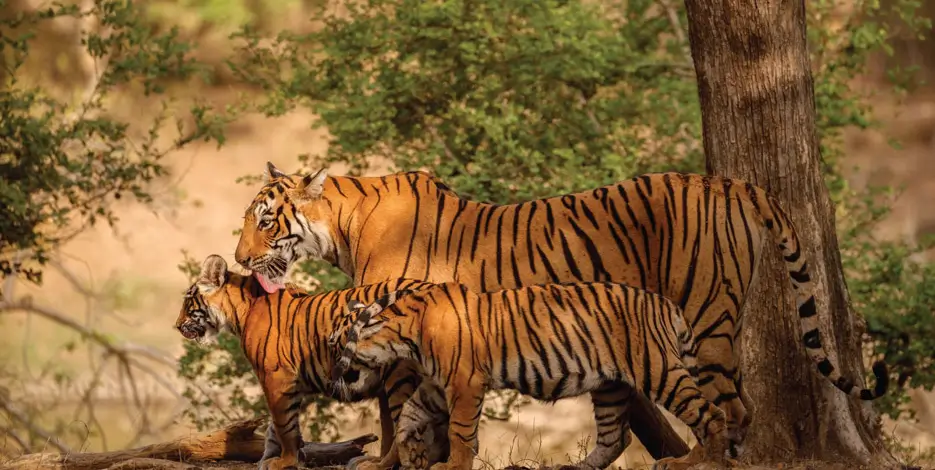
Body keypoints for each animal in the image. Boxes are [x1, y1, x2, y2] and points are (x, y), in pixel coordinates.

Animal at [173, 254, 444, 470]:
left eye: (187, 301)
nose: (176, 326)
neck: (240, 311)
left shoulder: (276, 377)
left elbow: (284, 425)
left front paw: (285, 460)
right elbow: (277, 427)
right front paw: (277, 458)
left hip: (398, 377)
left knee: (405, 431)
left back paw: (379, 465)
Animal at [327, 281, 728, 470]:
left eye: (334, 345)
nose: (332, 381)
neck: (406, 336)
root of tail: (666, 303)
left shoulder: (465, 383)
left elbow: (460, 433)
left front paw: (451, 465)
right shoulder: (436, 387)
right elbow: (406, 421)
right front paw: (391, 461)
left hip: (658, 370)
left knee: (711, 414)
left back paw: (701, 462)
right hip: (610, 387)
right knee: (616, 437)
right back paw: (573, 467)